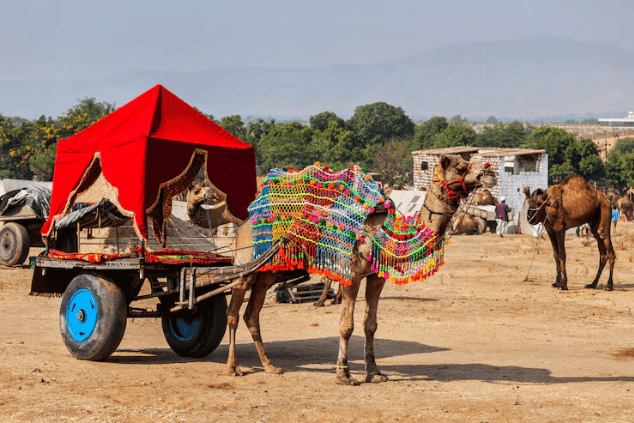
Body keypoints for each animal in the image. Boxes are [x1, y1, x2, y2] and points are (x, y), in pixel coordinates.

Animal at [210, 157, 496, 388]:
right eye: (459, 166)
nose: (490, 172)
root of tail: (244, 223)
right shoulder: (351, 274)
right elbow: (346, 326)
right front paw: (344, 375)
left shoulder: (376, 277)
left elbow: (371, 325)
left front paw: (375, 372)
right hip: (247, 265)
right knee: (233, 312)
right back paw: (232, 367)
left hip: (268, 272)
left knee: (252, 314)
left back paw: (270, 366)